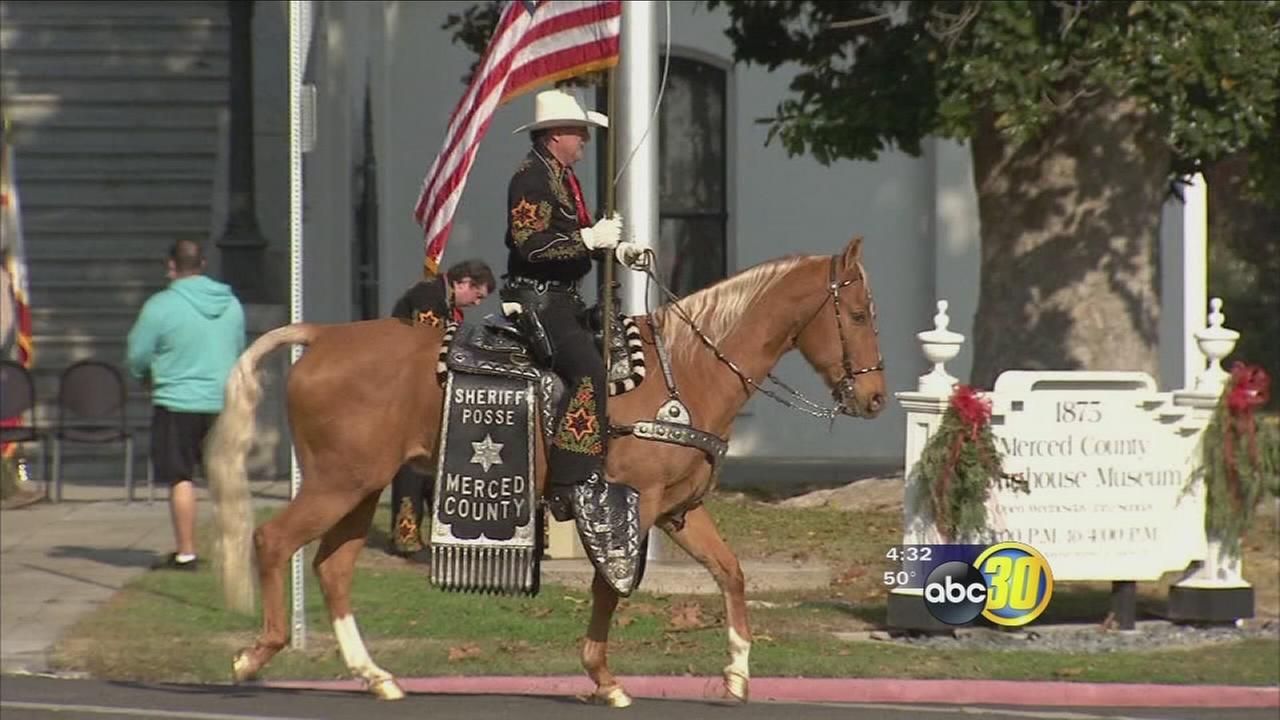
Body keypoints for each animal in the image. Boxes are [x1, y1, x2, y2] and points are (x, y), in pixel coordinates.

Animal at [207, 235, 890, 702]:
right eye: (858, 315)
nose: (876, 398)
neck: (685, 371)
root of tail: (323, 336)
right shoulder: (625, 503)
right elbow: (611, 586)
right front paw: (603, 676)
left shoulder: (679, 511)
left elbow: (731, 573)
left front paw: (739, 671)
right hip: (336, 483)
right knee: (273, 541)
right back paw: (254, 657)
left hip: (359, 487)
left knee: (332, 567)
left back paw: (374, 676)